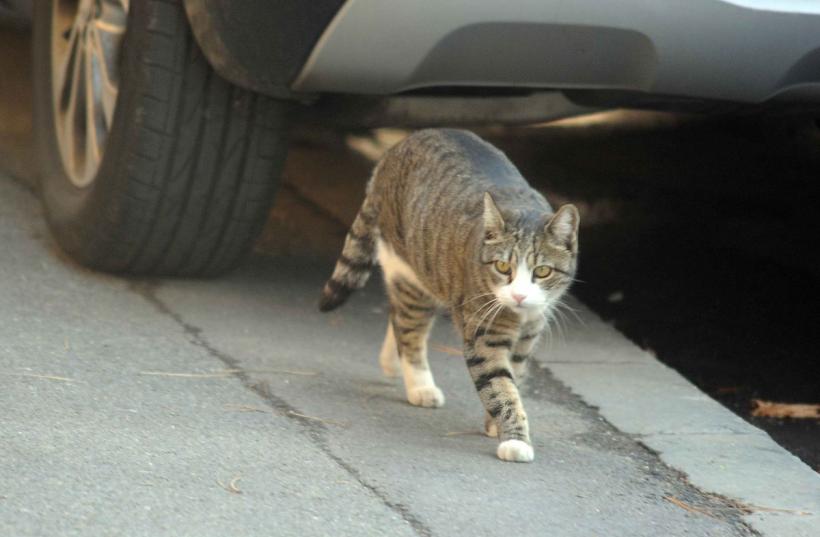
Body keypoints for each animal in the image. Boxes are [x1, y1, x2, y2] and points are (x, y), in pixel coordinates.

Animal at [318, 129, 580, 460]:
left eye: (542, 272)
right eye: (502, 266)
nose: (519, 296)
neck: (519, 316)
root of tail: (395, 150)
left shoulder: (528, 336)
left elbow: (515, 377)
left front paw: (495, 423)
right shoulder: (484, 336)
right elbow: (501, 387)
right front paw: (515, 439)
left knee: (397, 318)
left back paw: (391, 362)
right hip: (410, 276)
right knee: (409, 332)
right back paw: (420, 386)